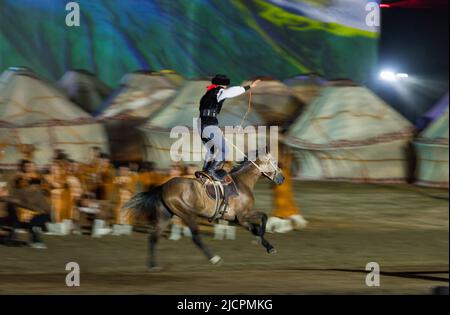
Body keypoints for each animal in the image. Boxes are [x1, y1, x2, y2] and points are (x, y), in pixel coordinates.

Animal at [125, 152, 284, 270]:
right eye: (274, 162)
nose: (282, 178)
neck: (242, 182)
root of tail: (163, 186)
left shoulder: (237, 219)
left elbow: (256, 226)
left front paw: (266, 245)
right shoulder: (242, 216)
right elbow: (262, 220)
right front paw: (267, 243)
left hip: (165, 216)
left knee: (153, 237)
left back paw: (152, 266)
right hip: (187, 215)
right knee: (196, 237)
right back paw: (214, 259)